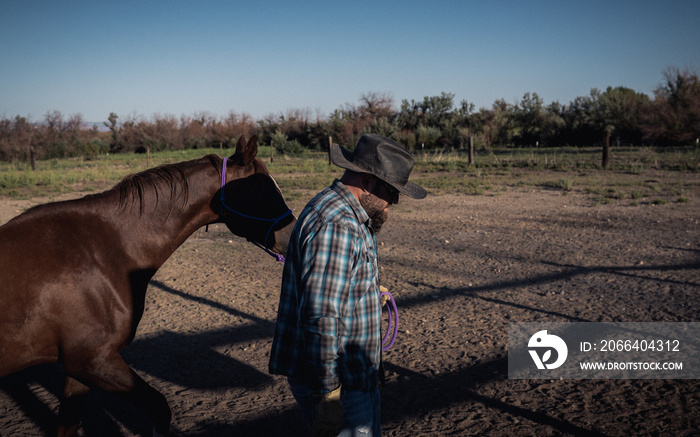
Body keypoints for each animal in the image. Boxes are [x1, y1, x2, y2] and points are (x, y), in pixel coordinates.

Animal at [0, 135, 296, 434]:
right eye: (263, 189)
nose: (294, 236)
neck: (105, 249)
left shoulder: (77, 368)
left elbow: (68, 425)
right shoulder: (93, 360)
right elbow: (159, 408)